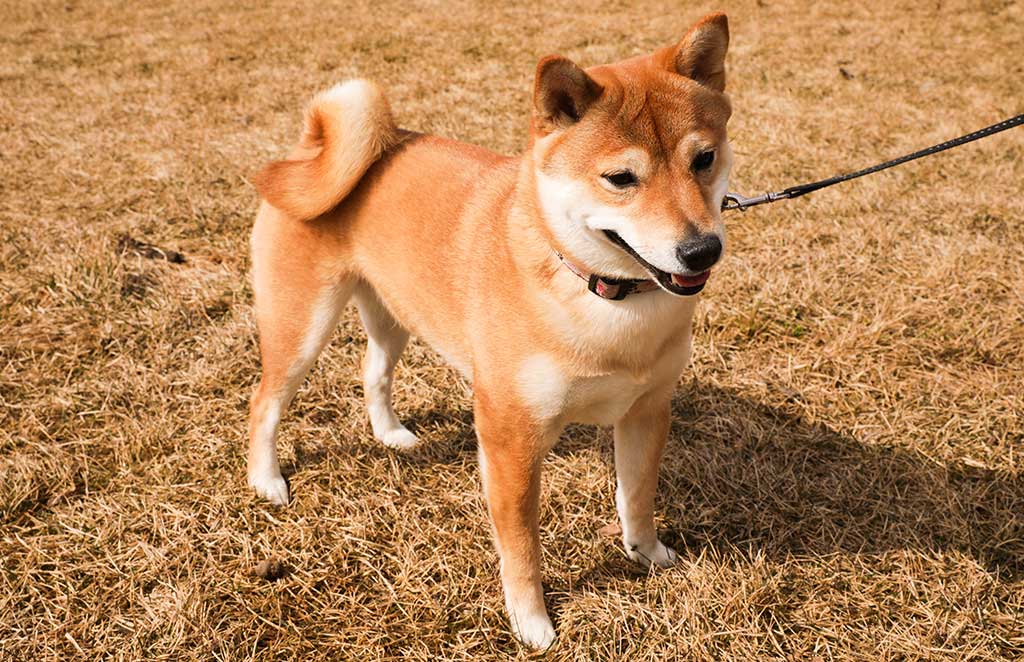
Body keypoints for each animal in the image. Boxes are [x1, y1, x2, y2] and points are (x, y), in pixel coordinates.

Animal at [250, 12, 737, 651]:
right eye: (620, 178)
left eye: (704, 159)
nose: (701, 249)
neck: (603, 296)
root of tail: (313, 148)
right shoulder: (511, 441)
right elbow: (522, 548)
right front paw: (532, 623)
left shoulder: (646, 409)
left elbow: (636, 497)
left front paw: (647, 553)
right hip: (300, 328)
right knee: (265, 402)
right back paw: (267, 480)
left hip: (396, 314)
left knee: (373, 371)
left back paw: (392, 435)